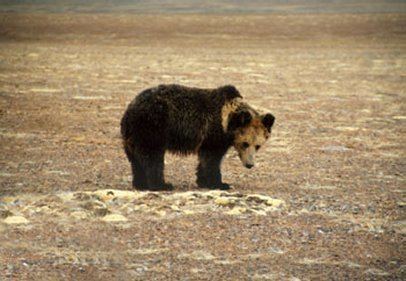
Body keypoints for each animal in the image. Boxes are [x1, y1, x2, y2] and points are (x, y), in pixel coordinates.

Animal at [119, 83, 274, 190]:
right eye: (245, 143)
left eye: (258, 146)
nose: (249, 164)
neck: (227, 123)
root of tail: (129, 110)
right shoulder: (213, 132)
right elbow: (212, 159)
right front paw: (220, 183)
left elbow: (204, 159)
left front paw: (203, 181)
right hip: (153, 126)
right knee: (153, 157)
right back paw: (162, 185)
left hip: (132, 138)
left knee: (136, 160)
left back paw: (140, 184)